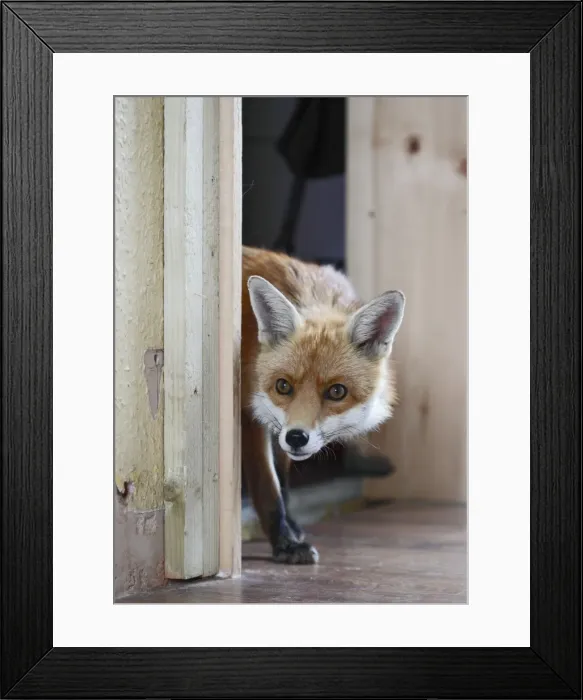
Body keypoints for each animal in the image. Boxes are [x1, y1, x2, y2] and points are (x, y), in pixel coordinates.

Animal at [241, 245, 405, 564]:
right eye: (283, 386)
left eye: (336, 392)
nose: (296, 437)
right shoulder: (248, 414)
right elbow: (269, 488)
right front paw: (285, 543)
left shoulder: (278, 426)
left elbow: (283, 483)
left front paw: (292, 528)